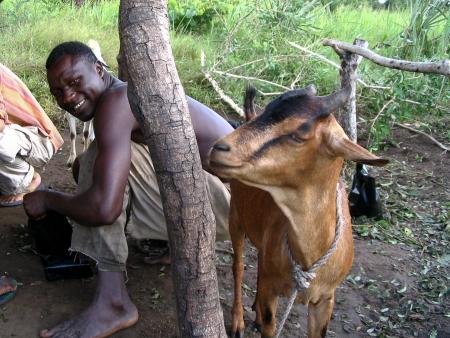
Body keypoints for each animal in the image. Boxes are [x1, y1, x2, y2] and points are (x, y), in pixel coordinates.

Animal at [209, 86, 388, 336]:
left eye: (298, 135)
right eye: (269, 108)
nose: (219, 148)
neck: (308, 259)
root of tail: (249, 116)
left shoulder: (325, 299)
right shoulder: (271, 294)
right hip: (235, 217)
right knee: (239, 266)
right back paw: (238, 322)